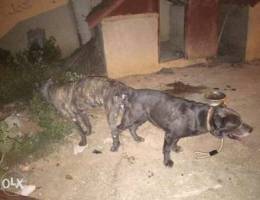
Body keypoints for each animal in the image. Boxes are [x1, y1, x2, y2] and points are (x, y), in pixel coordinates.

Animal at [110, 90, 253, 166]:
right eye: (237, 124)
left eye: (241, 120)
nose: (251, 129)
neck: (203, 117)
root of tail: (131, 93)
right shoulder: (169, 135)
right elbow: (166, 149)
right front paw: (167, 161)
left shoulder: (176, 135)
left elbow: (175, 142)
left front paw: (176, 148)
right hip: (131, 118)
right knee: (116, 130)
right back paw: (115, 145)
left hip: (142, 118)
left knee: (132, 128)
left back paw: (137, 138)